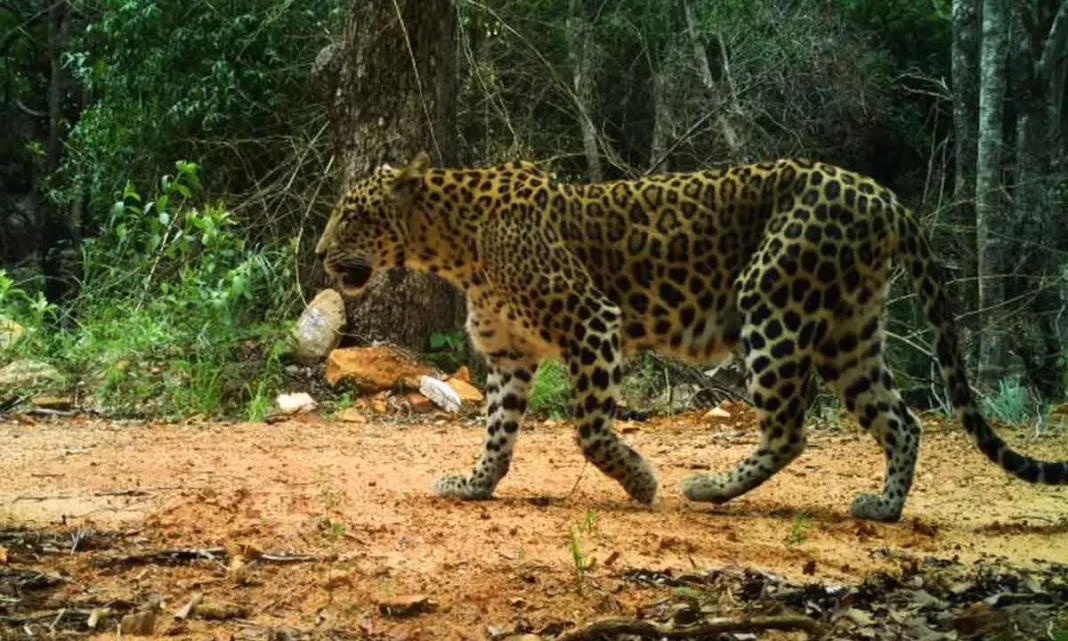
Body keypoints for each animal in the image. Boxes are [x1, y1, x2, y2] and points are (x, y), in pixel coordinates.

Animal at [314, 151, 1068, 522]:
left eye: (350, 216)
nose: (320, 254)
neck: (450, 244)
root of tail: (882, 194)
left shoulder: (595, 321)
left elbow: (589, 431)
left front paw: (641, 480)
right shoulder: (511, 356)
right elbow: (498, 433)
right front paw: (474, 485)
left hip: (774, 304)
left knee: (790, 428)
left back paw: (710, 488)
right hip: (848, 333)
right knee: (901, 420)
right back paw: (882, 507)